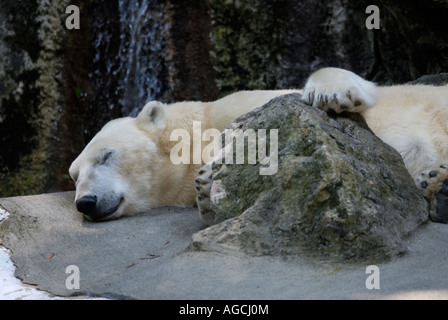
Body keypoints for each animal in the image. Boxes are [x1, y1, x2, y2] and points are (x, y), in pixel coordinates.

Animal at [69, 67, 448, 222]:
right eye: (74, 175)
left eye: (106, 155)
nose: (85, 202)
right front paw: (208, 187)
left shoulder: (242, 107)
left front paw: (330, 92)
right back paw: (434, 182)